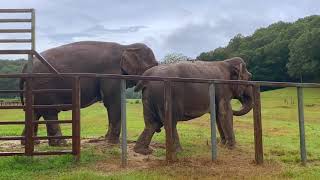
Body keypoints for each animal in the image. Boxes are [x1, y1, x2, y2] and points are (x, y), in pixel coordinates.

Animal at [19, 41, 158, 146]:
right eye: (154, 65)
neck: (125, 47)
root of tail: (25, 67)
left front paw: (105, 139)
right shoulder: (111, 75)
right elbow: (113, 102)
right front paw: (112, 143)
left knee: (35, 112)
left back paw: (31, 144)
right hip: (44, 86)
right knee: (49, 112)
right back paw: (61, 144)